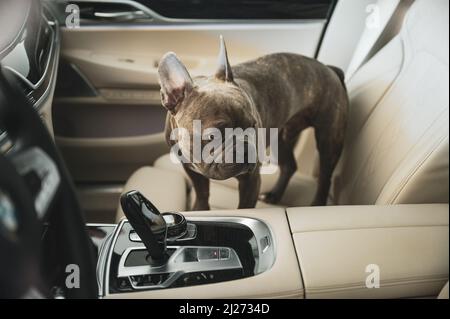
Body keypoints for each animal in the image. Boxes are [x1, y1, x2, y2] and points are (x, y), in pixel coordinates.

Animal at [158, 37, 348, 210]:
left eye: (254, 126)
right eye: (213, 136)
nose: (246, 149)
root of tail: (330, 69)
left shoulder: (251, 180)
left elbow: (244, 207)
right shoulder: (191, 169)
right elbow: (202, 192)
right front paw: (200, 210)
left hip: (328, 140)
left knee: (325, 176)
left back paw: (318, 204)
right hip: (281, 137)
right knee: (289, 166)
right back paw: (274, 195)